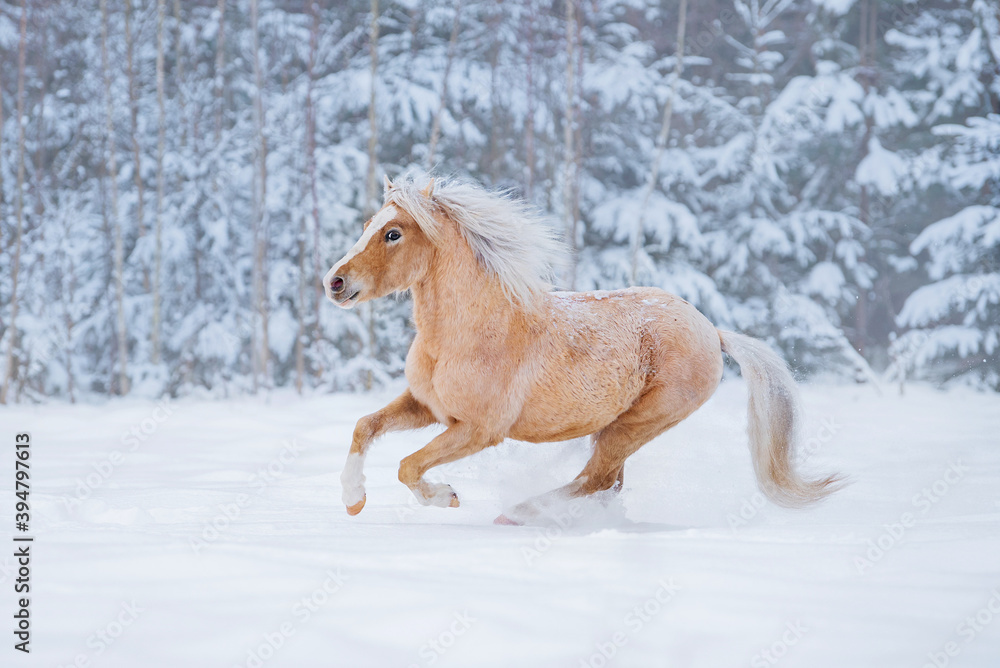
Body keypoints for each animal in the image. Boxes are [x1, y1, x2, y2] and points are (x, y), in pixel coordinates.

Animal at [324, 175, 840, 524]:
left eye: (393, 233)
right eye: (368, 224)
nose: (335, 282)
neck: (467, 333)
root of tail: (713, 332)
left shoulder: (479, 430)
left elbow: (408, 466)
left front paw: (445, 496)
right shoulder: (427, 407)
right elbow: (364, 427)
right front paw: (353, 501)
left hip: (636, 424)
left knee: (596, 479)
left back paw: (516, 514)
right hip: (619, 428)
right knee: (607, 483)